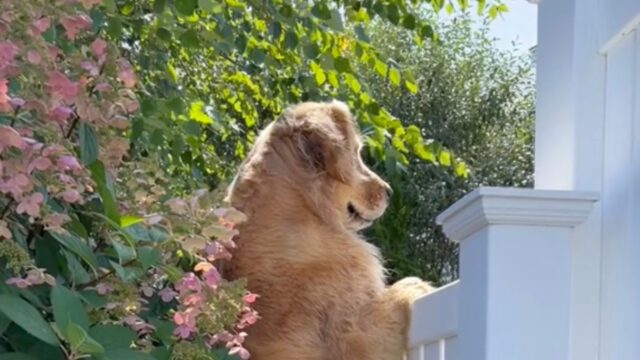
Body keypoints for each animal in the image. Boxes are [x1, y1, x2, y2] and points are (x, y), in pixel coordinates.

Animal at [225, 100, 430, 358]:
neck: (302, 207)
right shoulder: (352, 335)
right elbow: (401, 291)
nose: (389, 192)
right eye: (356, 153)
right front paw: (418, 286)